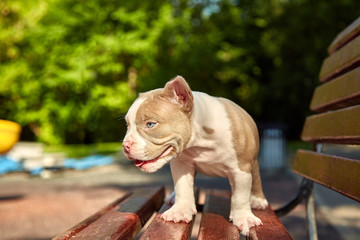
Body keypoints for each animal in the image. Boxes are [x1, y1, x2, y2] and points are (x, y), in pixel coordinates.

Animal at [123, 76, 268, 235]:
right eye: (127, 126)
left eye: (150, 125)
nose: (125, 145)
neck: (199, 142)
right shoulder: (182, 165)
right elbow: (182, 187)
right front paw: (179, 211)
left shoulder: (240, 169)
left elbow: (240, 196)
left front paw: (244, 217)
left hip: (252, 163)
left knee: (256, 177)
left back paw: (257, 200)